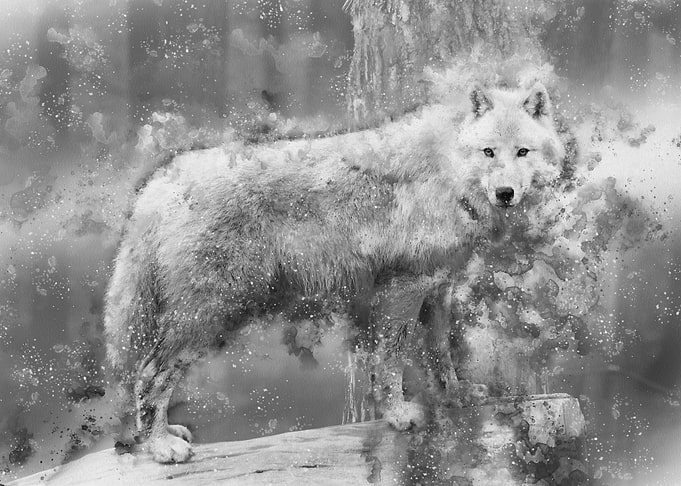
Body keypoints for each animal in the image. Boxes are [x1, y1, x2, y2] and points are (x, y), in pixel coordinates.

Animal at [104, 82, 569, 463]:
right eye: (488, 152)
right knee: (149, 377)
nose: (505, 193)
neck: (448, 168)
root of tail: (158, 185)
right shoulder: (403, 289)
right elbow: (391, 362)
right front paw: (399, 415)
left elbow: (440, 353)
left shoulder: (438, 289)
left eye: (522, 152)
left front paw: (456, 397)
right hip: (206, 319)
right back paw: (160, 446)